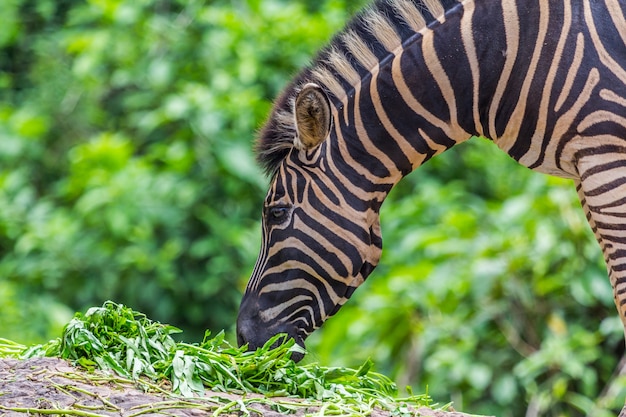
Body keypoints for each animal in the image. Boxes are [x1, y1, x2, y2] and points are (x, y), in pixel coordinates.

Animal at [235, 0, 624, 412]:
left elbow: (622, 290)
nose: (244, 340)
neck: (496, 62)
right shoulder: (584, 169)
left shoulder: (604, 157)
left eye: (276, 213)